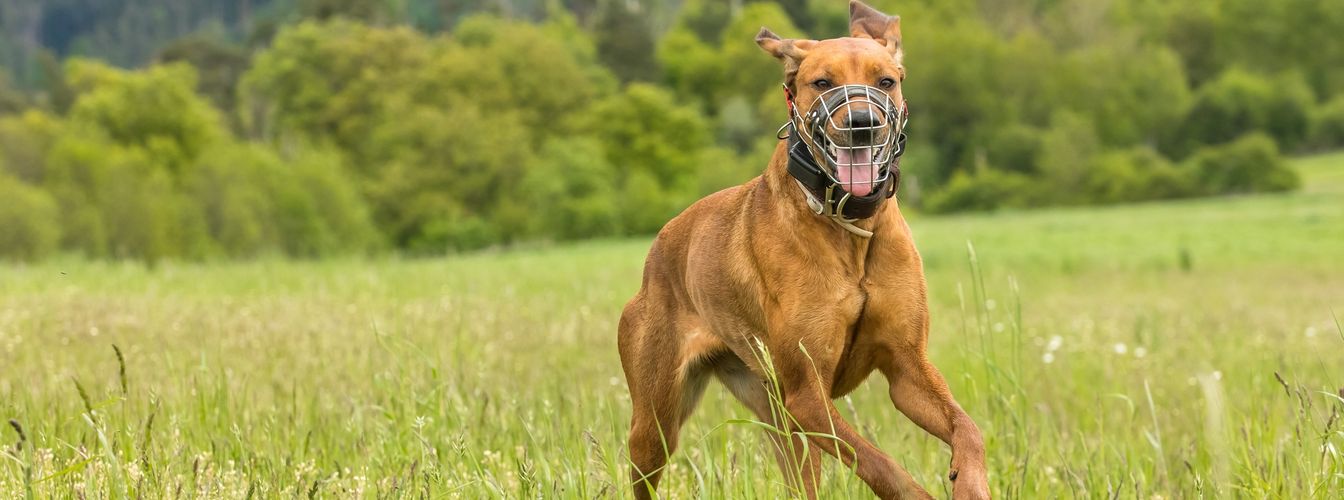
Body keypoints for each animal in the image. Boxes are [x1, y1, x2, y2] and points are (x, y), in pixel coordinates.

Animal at [615, 1, 989, 497]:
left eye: (886, 81)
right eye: (822, 83)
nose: (862, 124)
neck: (848, 223)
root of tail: (656, 252)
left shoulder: (906, 368)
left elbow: (968, 428)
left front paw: (970, 483)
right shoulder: (808, 395)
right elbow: (878, 463)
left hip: (780, 423)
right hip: (655, 424)